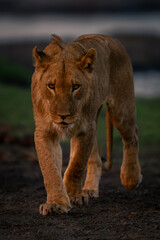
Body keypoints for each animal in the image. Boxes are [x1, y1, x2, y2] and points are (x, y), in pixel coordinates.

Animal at [31, 33, 141, 216]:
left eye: (76, 86)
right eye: (51, 86)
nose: (63, 116)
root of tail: (111, 38)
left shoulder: (86, 129)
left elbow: (77, 164)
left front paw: (73, 195)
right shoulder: (44, 132)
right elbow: (50, 169)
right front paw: (56, 203)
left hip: (121, 108)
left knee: (132, 136)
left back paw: (130, 178)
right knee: (96, 158)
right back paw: (90, 190)